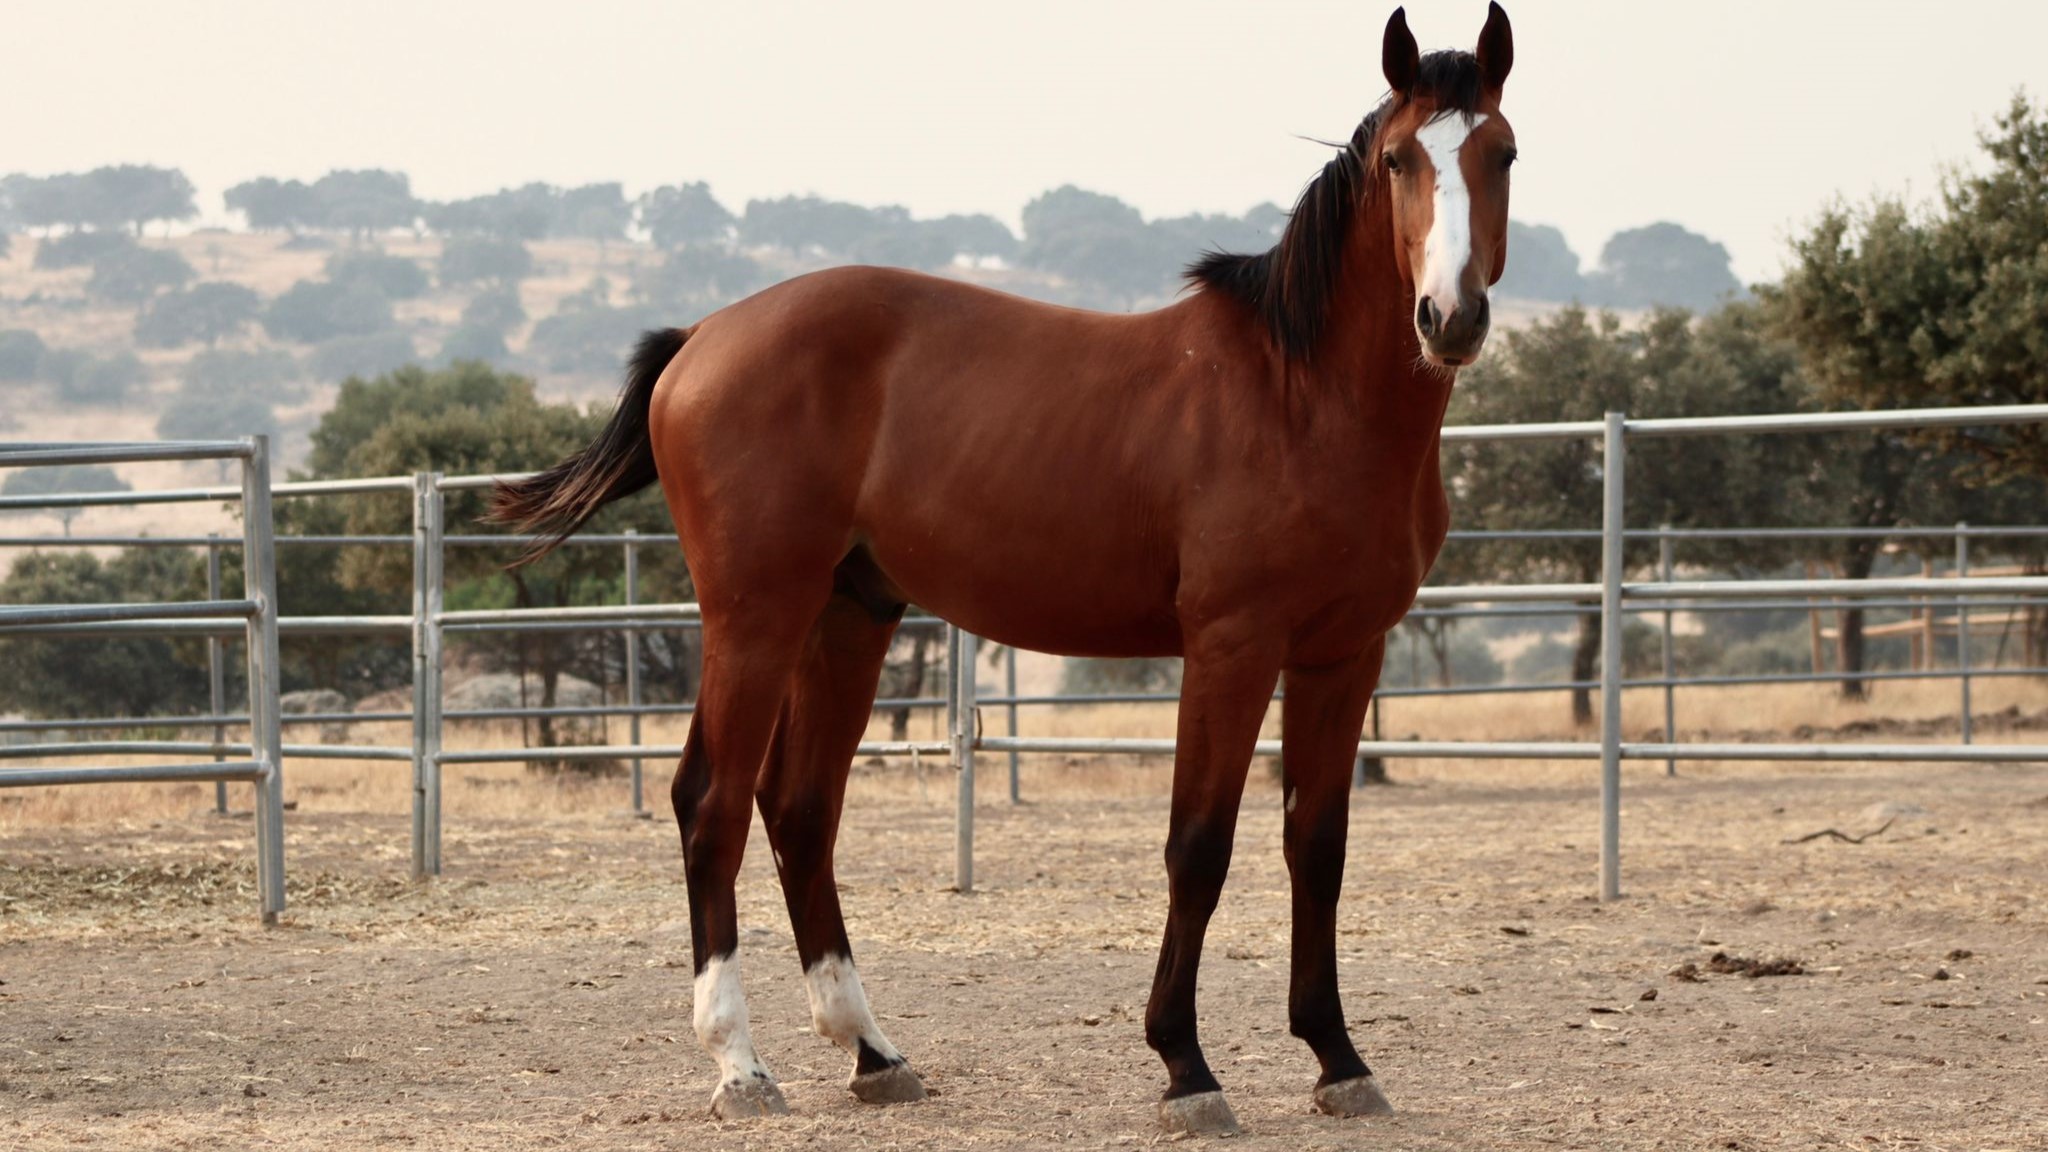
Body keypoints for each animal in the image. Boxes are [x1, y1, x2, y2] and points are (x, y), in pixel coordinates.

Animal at [490, 3, 1515, 1135]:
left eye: (1501, 153)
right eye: (1397, 160)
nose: (1450, 317)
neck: (1305, 398)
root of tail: (701, 337)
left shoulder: (1343, 655)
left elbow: (1316, 849)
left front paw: (1337, 1059)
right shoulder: (1231, 648)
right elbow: (1198, 846)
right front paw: (1186, 1066)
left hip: (849, 615)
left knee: (800, 810)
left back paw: (872, 1052)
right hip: (754, 618)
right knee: (709, 802)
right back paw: (740, 1067)